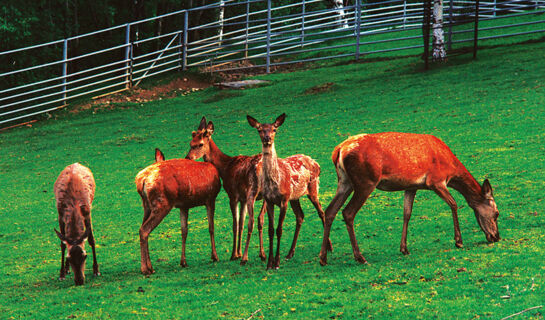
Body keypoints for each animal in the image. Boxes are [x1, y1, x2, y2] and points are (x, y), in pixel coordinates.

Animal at [185, 117, 266, 264]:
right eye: (190, 143)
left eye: (200, 144)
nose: (188, 158)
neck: (224, 167)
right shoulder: (242, 199)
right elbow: (241, 223)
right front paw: (238, 252)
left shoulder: (232, 195)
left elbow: (235, 224)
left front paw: (234, 254)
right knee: (260, 219)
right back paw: (262, 254)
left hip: (252, 192)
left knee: (252, 221)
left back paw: (245, 258)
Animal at [246, 114, 332, 268]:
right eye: (259, 129)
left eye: (274, 129)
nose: (267, 138)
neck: (275, 181)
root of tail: (316, 163)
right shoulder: (269, 201)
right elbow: (270, 230)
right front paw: (269, 262)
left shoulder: (284, 199)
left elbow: (279, 229)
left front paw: (276, 262)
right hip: (295, 197)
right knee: (300, 216)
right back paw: (290, 253)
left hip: (313, 188)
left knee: (321, 211)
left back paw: (329, 247)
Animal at [318, 131, 502, 266]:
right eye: (497, 213)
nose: (496, 237)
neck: (451, 169)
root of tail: (339, 151)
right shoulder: (436, 181)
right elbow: (454, 204)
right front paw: (459, 241)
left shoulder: (411, 187)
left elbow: (407, 213)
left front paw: (404, 248)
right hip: (365, 181)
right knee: (348, 213)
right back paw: (360, 257)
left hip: (345, 181)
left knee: (330, 210)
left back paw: (323, 258)